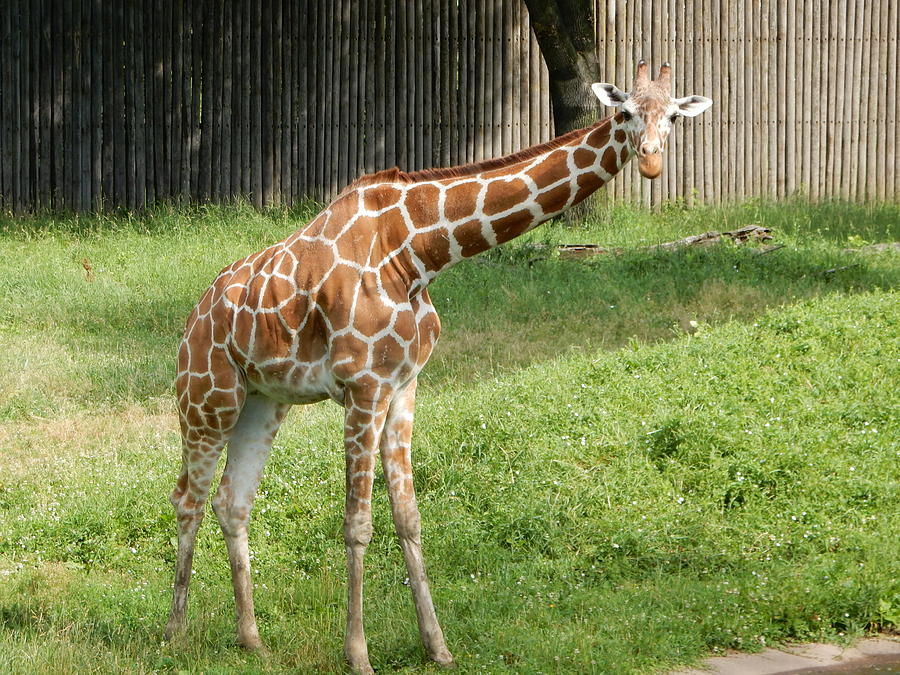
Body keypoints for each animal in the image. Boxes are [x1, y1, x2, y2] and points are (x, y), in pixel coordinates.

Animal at [163, 60, 712, 672]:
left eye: (672, 116)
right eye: (626, 112)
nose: (651, 160)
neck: (419, 252)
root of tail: (194, 316)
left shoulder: (403, 386)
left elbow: (408, 517)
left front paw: (438, 647)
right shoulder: (364, 387)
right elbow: (358, 523)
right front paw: (358, 655)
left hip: (264, 402)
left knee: (232, 502)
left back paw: (251, 639)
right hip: (208, 397)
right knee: (187, 498)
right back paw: (174, 635)